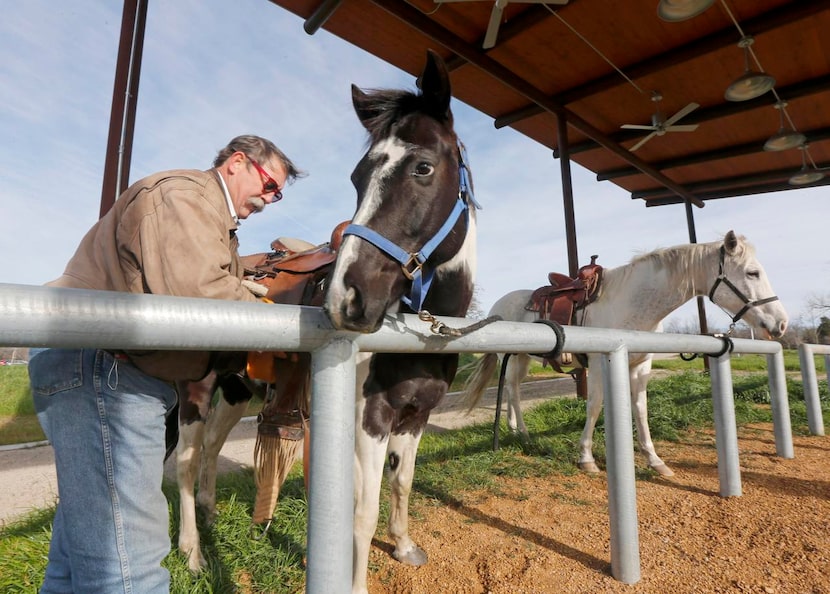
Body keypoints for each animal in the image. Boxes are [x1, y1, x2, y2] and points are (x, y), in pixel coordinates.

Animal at [324, 52, 478, 592]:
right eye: (356, 179)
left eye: (423, 167)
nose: (345, 298)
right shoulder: (370, 419)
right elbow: (363, 511)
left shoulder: (416, 416)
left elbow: (403, 482)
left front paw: (405, 546)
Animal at [464, 231, 788, 476]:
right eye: (752, 272)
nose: (781, 323)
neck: (631, 302)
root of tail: (498, 305)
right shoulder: (598, 364)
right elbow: (595, 406)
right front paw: (587, 458)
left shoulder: (640, 366)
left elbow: (640, 409)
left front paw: (655, 461)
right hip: (515, 358)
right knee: (515, 391)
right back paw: (524, 433)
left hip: (519, 359)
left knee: (511, 389)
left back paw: (513, 429)